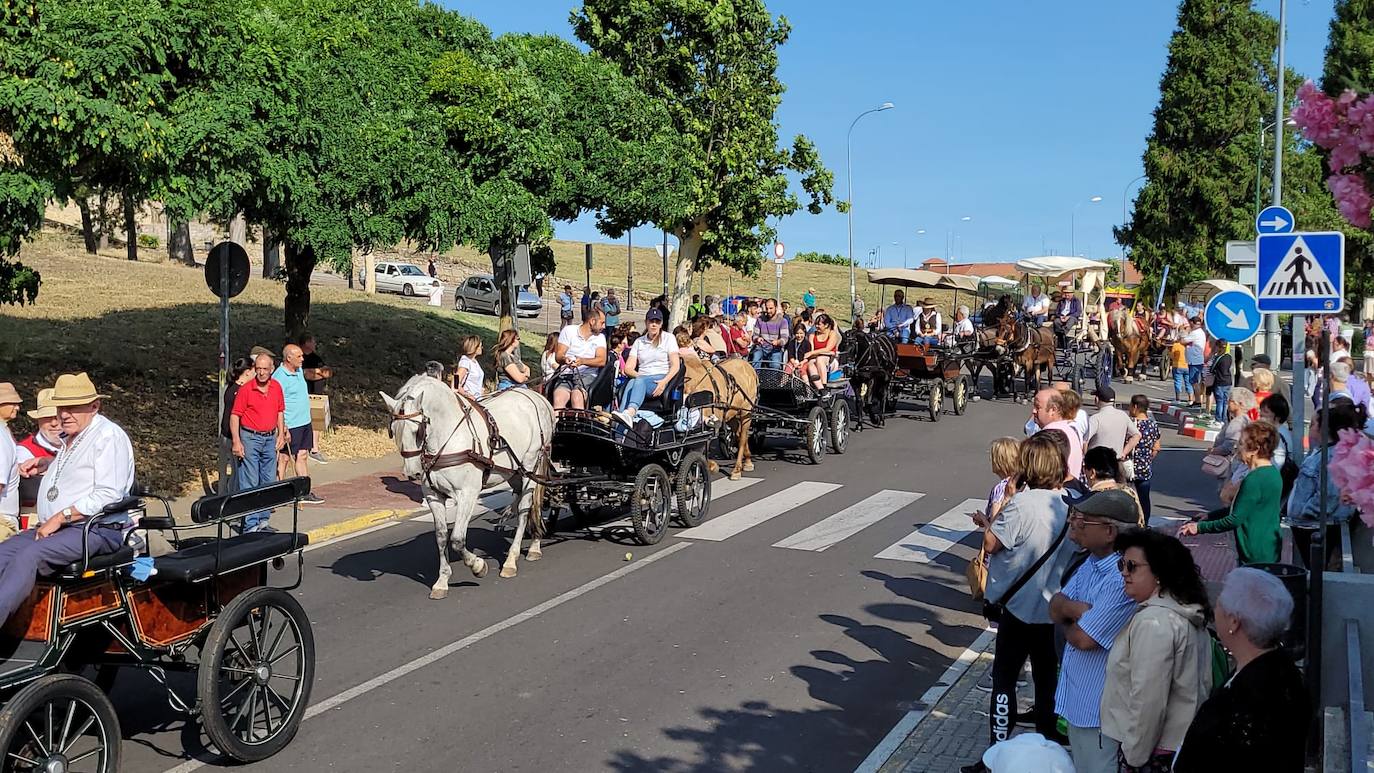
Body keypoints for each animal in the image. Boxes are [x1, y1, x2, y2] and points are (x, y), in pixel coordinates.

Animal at [379, 378, 555, 601]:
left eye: (417, 431)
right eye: (393, 430)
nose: (412, 473)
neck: (448, 437)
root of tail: (537, 397)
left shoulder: (467, 494)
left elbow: (457, 539)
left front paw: (477, 566)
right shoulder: (433, 495)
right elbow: (442, 536)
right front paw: (442, 581)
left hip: (532, 466)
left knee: (526, 509)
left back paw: (514, 557)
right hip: (514, 472)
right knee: (525, 502)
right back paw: (525, 534)